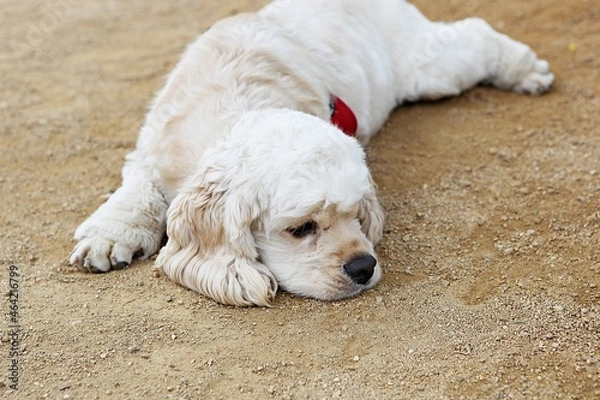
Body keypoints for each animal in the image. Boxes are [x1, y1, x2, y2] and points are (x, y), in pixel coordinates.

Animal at [69, 0, 552, 306]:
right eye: (301, 229)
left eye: (357, 214)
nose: (363, 266)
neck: (236, 106)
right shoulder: (148, 147)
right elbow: (136, 191)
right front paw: (109, 235)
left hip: (429, 69)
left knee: (476, 34)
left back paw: (526, 70)